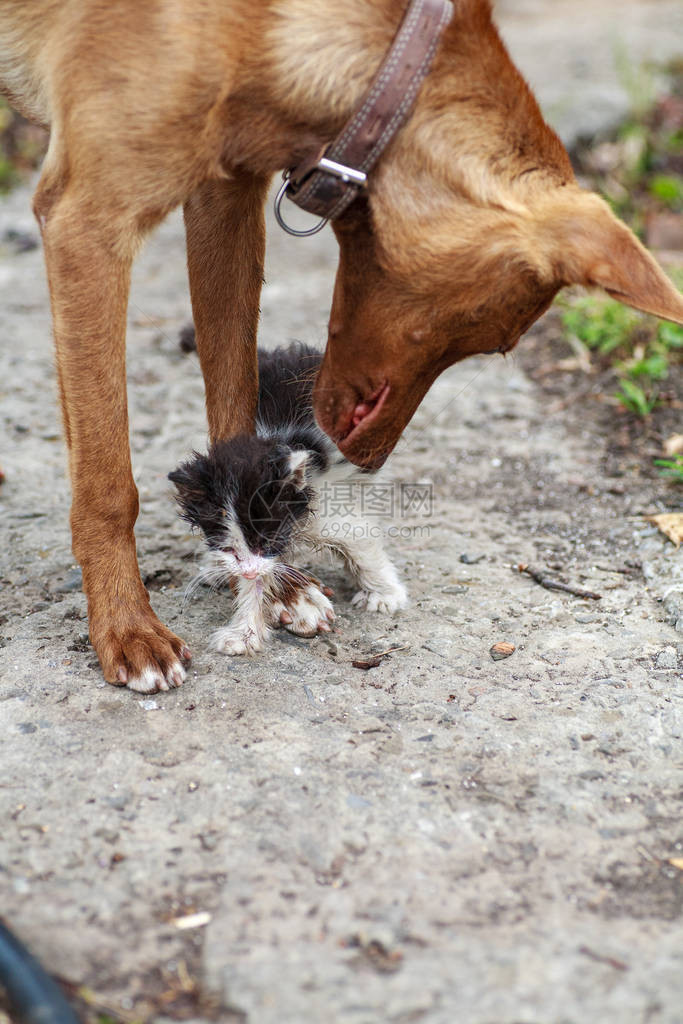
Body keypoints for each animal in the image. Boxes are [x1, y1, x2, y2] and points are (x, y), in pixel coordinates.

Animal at [168, 344, 409, 655]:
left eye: (266, 541)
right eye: (230, 548)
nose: (246, 571)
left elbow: (361, 543)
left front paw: (384, 595)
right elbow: (257, 582)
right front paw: (244, 633)